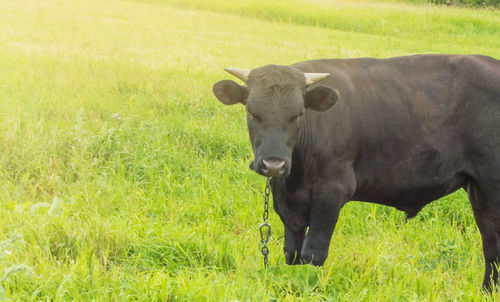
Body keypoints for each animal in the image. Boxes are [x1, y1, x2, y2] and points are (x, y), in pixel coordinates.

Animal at [213, 54, 500, 290]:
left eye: (298, 115)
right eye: (251, 112)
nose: (274, 164)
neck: (294, 178)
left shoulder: (331, 192)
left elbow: (313, 253)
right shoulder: (289, 205)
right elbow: (291, 253)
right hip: (480, 193)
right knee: (491, 245)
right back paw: (487, 291)